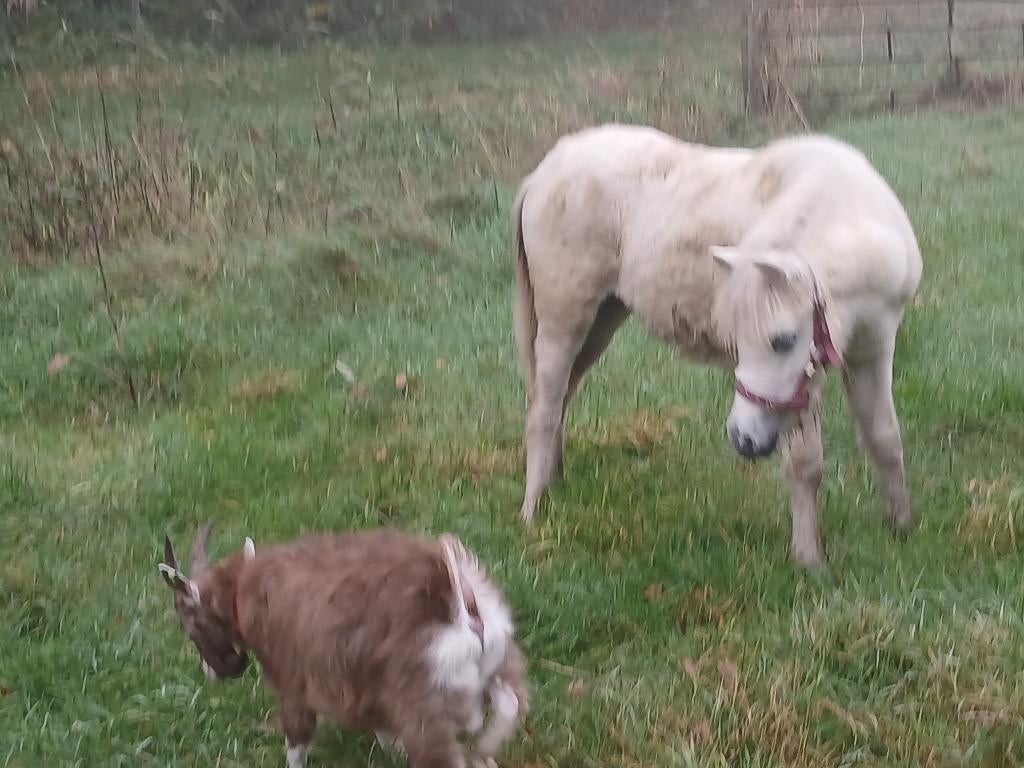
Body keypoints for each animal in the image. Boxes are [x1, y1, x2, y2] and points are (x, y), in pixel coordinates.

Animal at [512, 124, 922, 566]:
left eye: (784, 341)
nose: (743, 439)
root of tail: (542, 175)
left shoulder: (872, 354)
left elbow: (885, 439)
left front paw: (901, 527)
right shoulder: (807, 385)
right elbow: (805, 465)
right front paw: (809, 559)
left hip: (603, 320)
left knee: (563, 397)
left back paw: (555, 484)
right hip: (564, 321)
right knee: (543, 411)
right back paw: (533, 512)